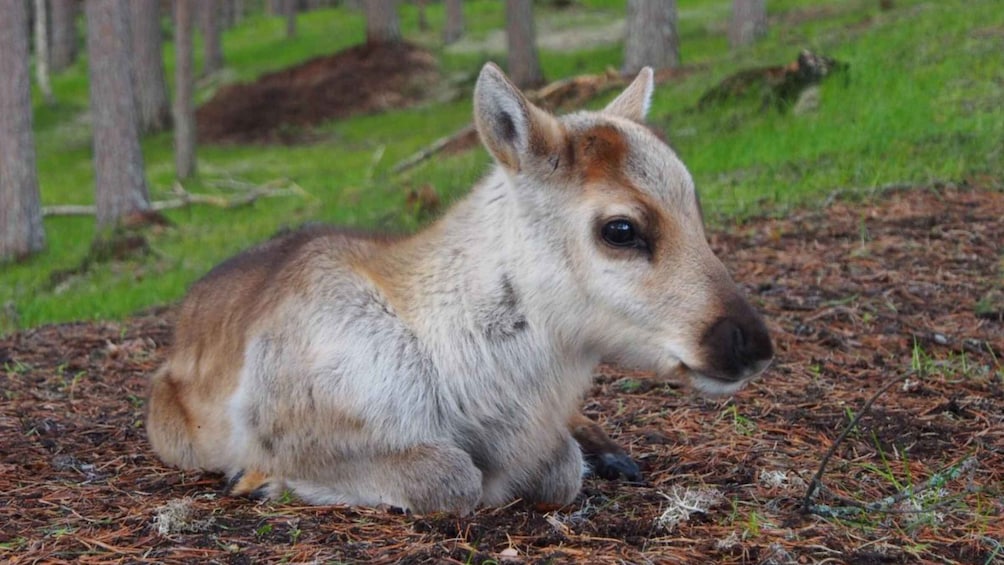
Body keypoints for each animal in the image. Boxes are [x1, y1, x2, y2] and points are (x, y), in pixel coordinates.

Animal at [145, 64, 771, 513]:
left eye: (696, 209)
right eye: (621, 229)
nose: (752, 343)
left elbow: (560, 468)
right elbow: (451, 477)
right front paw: (263, 480)